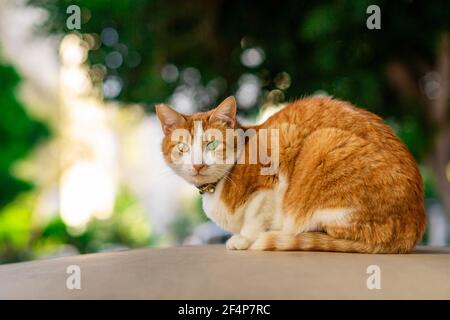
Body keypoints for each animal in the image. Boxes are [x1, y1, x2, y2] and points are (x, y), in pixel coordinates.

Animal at [155, 95, 426, 252]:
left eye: (211, 144)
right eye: (183, 147)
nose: (197, 165)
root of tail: (414, 225)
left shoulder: (274, 169)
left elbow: (254, 218)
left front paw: (244, 239)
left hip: (323, 143)